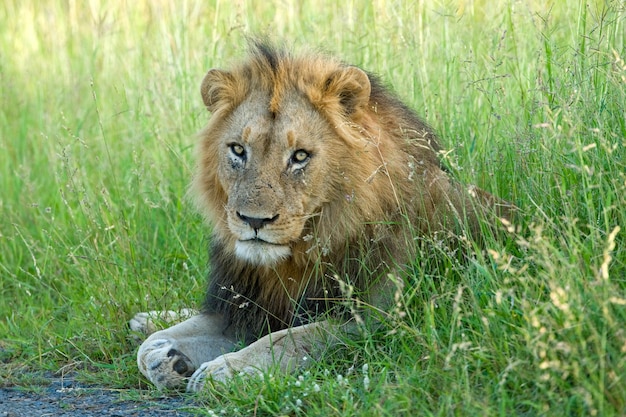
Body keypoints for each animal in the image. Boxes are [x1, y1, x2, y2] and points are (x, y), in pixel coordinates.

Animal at [130, 40, 512, 392]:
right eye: (238, 150)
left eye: (300, 156)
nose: (254, 221)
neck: (294, 259)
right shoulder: (243, 306)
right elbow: (148, 349)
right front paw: (170, 355)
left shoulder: (375, 319)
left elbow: (292, 337)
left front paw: (226, 370)